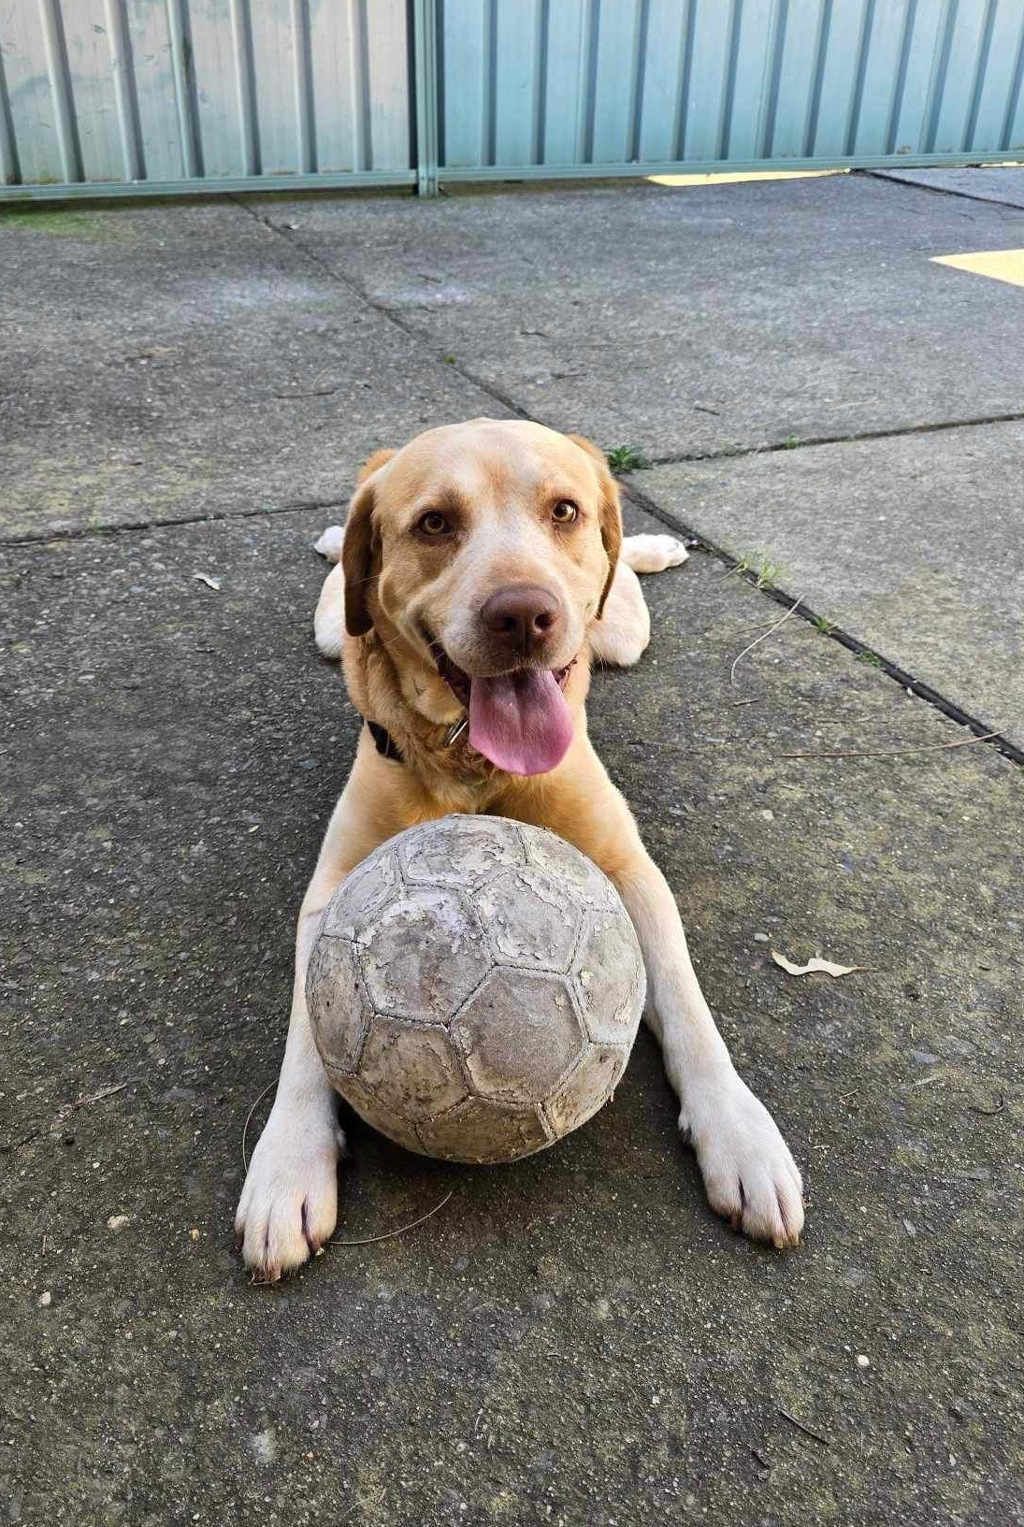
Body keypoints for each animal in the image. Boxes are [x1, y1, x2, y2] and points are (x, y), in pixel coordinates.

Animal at [236, 419, 804, 1279]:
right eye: (434, 523)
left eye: (563, 511)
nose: (524, 615)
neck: (475, 762)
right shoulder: (333, 887)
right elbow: (310, 1024)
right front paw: (287, 1162)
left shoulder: (630, 869)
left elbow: (686, 1001)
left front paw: (741, 1134)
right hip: (335, 626)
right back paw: (336, 539)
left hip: (622, 631)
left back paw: (653, 547)